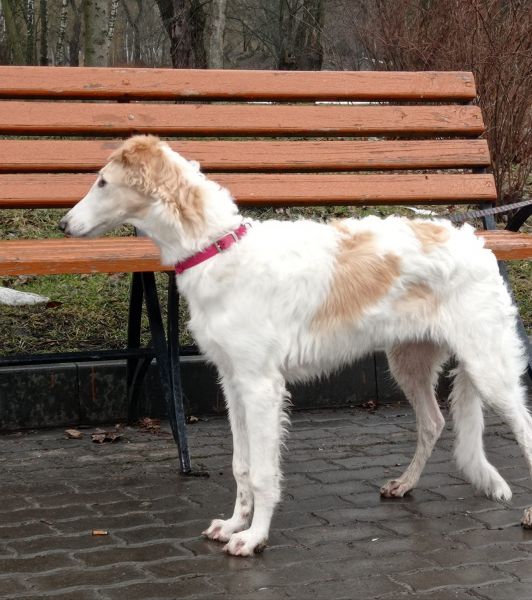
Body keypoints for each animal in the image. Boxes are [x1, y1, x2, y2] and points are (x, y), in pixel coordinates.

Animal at [60, 135, 532, 552]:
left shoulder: (261, 387)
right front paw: (233, 525)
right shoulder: (233, 382)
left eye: (102, 182)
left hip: (489, 368)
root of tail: (476, 242)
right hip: (410, 362)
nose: (63, 225)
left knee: (522, 426)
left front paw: (253, 538)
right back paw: (404, 484)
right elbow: (242, 466)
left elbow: (263, 473)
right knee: (433, 422)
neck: (218, 249)